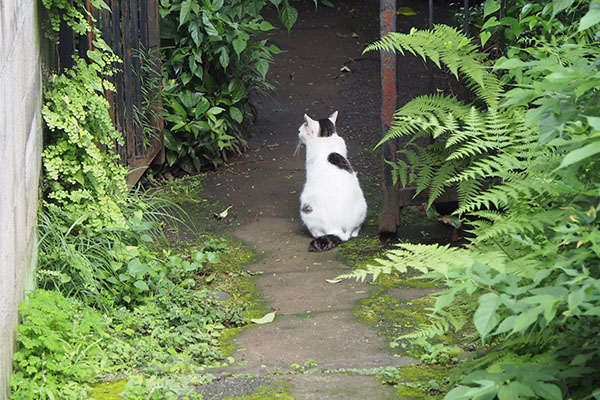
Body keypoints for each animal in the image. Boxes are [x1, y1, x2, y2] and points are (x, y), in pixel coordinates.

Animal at [298, 111, 368, 252]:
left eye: (301, 130)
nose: (297, 132)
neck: (327, 137)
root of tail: (338, 230)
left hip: (306, 208)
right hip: (363, 207)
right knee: (354, 232)